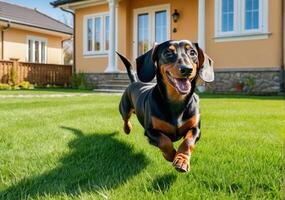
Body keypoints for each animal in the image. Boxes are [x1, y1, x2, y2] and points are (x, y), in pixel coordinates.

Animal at [116, 39, 213, 172]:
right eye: (168, 53)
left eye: (192, 52)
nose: (186, 69)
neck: (176, 101)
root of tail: (135, 82)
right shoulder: (150, 131)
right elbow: (164, 141)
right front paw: (171, 156)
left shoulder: (195, 129)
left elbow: (188, 142)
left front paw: (181, 160)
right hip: (124, 109)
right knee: (126, 119)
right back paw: (127, 129)